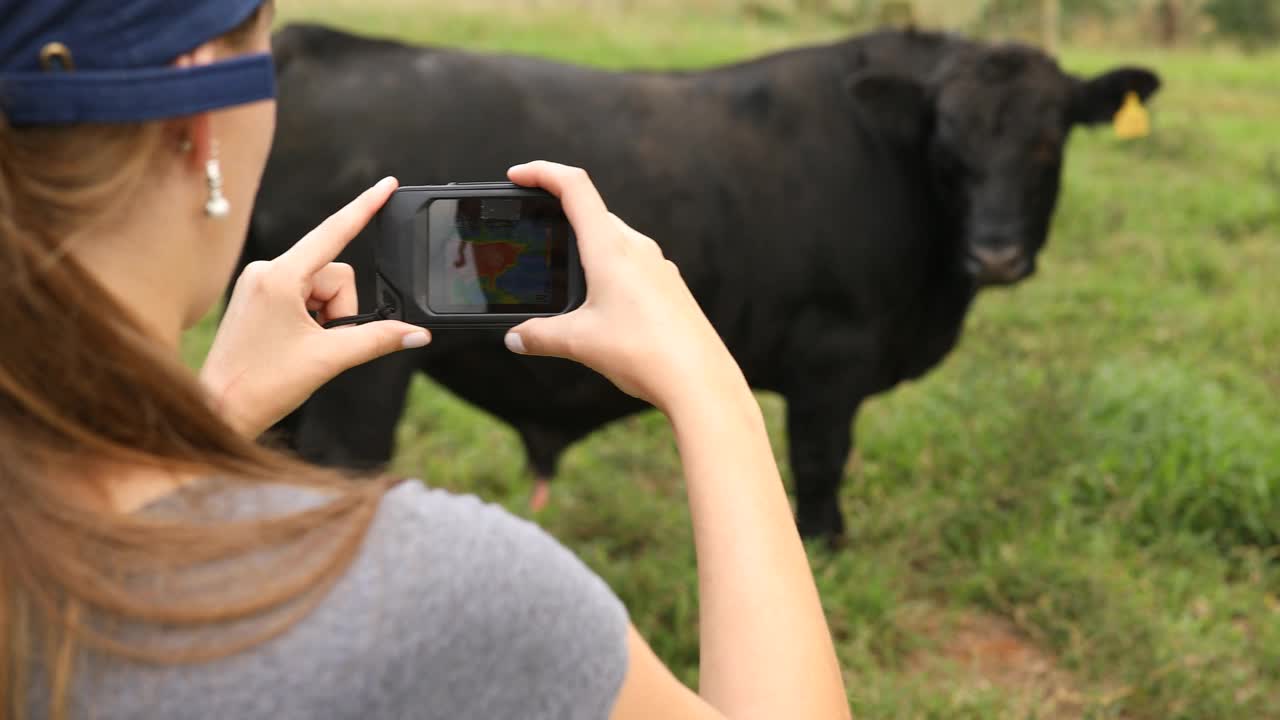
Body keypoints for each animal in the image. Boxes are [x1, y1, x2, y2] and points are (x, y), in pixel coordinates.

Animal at [240, 25, 1162, 538]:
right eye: (947, 140)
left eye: (1049, 142)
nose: (997, 254)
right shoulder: (832, 359)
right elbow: (822, 463)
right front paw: (825, 547)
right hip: (367, 372)